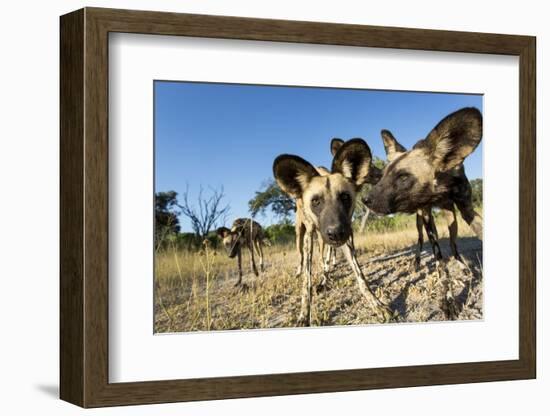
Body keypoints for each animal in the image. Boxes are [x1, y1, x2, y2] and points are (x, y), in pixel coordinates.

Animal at [274, 138, 394, 326]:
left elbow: (360, 277)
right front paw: (303, 315)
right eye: (315, 201)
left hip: (325, 239)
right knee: (303, 257)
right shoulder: (311, 236)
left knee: (326, 257)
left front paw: (377, 304)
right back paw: (303, 272)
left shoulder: (345, 238)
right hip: (302, 236)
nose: (336, 232)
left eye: (345, 197)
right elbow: (306, 282)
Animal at [366, 107, 484, 318]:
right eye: (384, 175)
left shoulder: (467, 209)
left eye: (403, 177)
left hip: (452, 218)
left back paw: (461, 264)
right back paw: (417, 263)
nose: (366, 200)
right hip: (421, 222)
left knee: (453, 244)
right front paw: (448, 299)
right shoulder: (428, 216)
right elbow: (440, 263)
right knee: (422, 241)